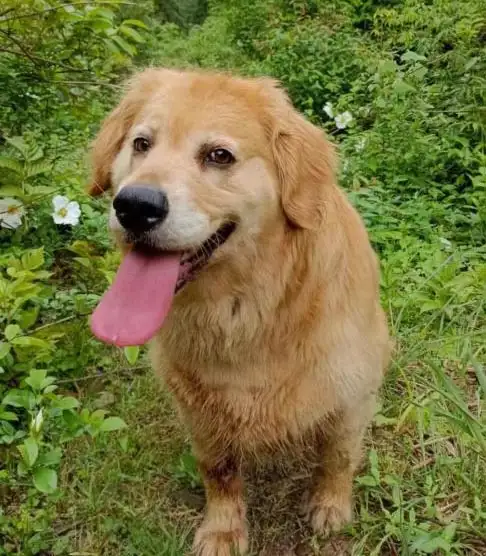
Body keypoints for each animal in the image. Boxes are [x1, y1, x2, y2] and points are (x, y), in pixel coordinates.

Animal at [88, 67, 392, 552]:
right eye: (141, 144)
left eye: (219, 156)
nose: (134, 206)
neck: (244, 313)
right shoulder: (199, 410)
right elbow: (219, 471)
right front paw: (223, 528)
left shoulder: (351, 393)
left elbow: (338, 456)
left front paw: (330, 506)